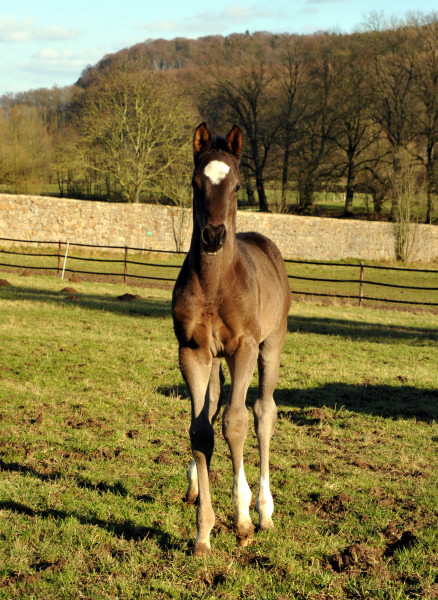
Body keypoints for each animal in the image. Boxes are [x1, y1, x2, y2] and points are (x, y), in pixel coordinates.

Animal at [172, 123, 290, 556]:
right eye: (195, 182)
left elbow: (235, 423)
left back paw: (265, 510)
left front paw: (241, 520)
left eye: (238, 185)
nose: (212, 235)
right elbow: (201, 430)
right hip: (215, 361)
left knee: (263, 412)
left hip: (271, 345)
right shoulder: (192, 351)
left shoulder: (244, 347)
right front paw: (203, 532)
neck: (214, 285)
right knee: (211, 406)